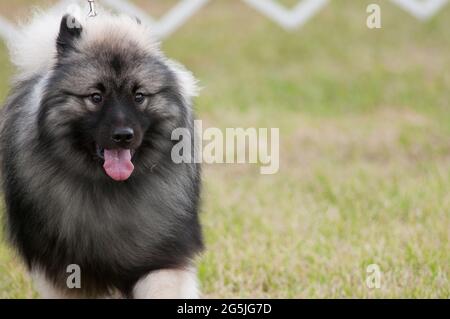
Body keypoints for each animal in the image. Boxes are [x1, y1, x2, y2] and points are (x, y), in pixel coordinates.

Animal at [0, 7, 203, 300]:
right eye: (96, 97)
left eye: (138, 96)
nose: (123, 135)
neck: (110, 189)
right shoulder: (69, 274)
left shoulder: (162, 257)